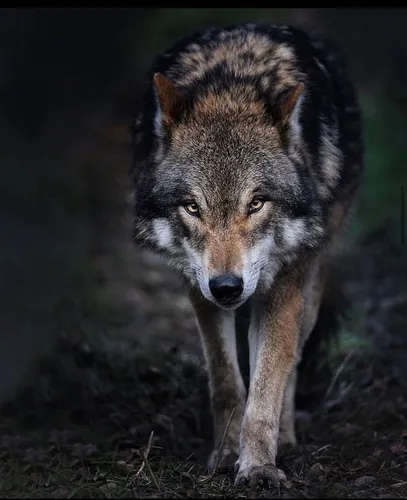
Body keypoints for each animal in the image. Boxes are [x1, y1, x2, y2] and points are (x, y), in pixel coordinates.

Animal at [131, 21, 364, 486]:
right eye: (192, 207)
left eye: (256, 203)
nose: (227, 287)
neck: (232, 84)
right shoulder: (197, 286)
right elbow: (226, 382)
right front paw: (225, 455)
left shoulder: (284, 286)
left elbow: (268, 381)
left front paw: (258, 467)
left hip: (309, 285)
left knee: (292, 359)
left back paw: (286, 438)